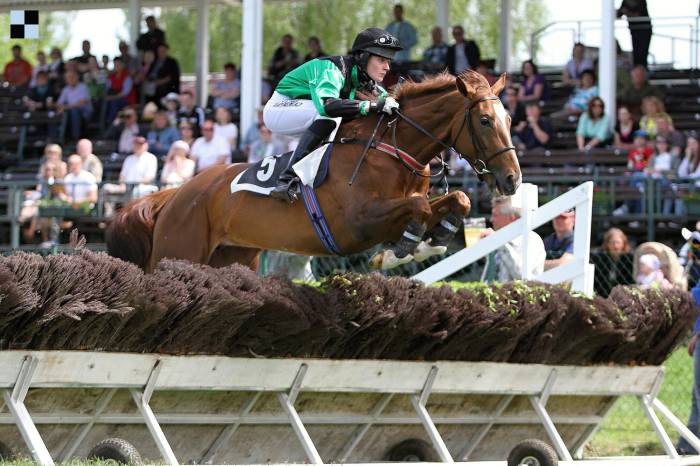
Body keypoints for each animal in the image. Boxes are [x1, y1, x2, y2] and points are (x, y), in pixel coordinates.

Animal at [105, 70, 520, 274]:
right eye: (485, 120)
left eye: (510, 119)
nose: (512, 179)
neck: (391, 148)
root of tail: (176, 194)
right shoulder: (359, 222)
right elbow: (418, 209)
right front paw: (402, 250)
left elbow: (458, 198)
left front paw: (432, 239)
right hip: (178, 252)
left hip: (232, 256)